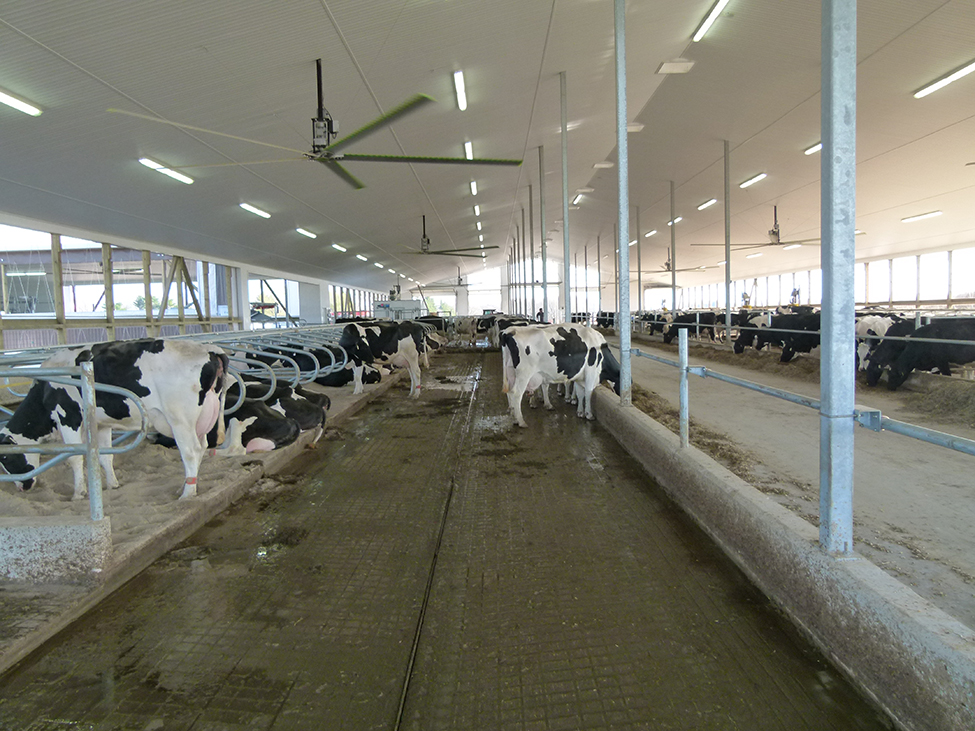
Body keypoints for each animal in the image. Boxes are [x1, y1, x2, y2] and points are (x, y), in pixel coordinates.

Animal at [0, 338, 229, 500]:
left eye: (5, 458)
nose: (21, 487)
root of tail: (209, 350)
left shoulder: (68, 417)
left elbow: (74, 457)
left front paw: (78, 493)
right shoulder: (101, 424)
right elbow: (105, 456)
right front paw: (112, 485)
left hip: (180, 418)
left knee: (190, 451)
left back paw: (187, 493)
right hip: (201, 418)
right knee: (202, 447)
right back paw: (186, 485)